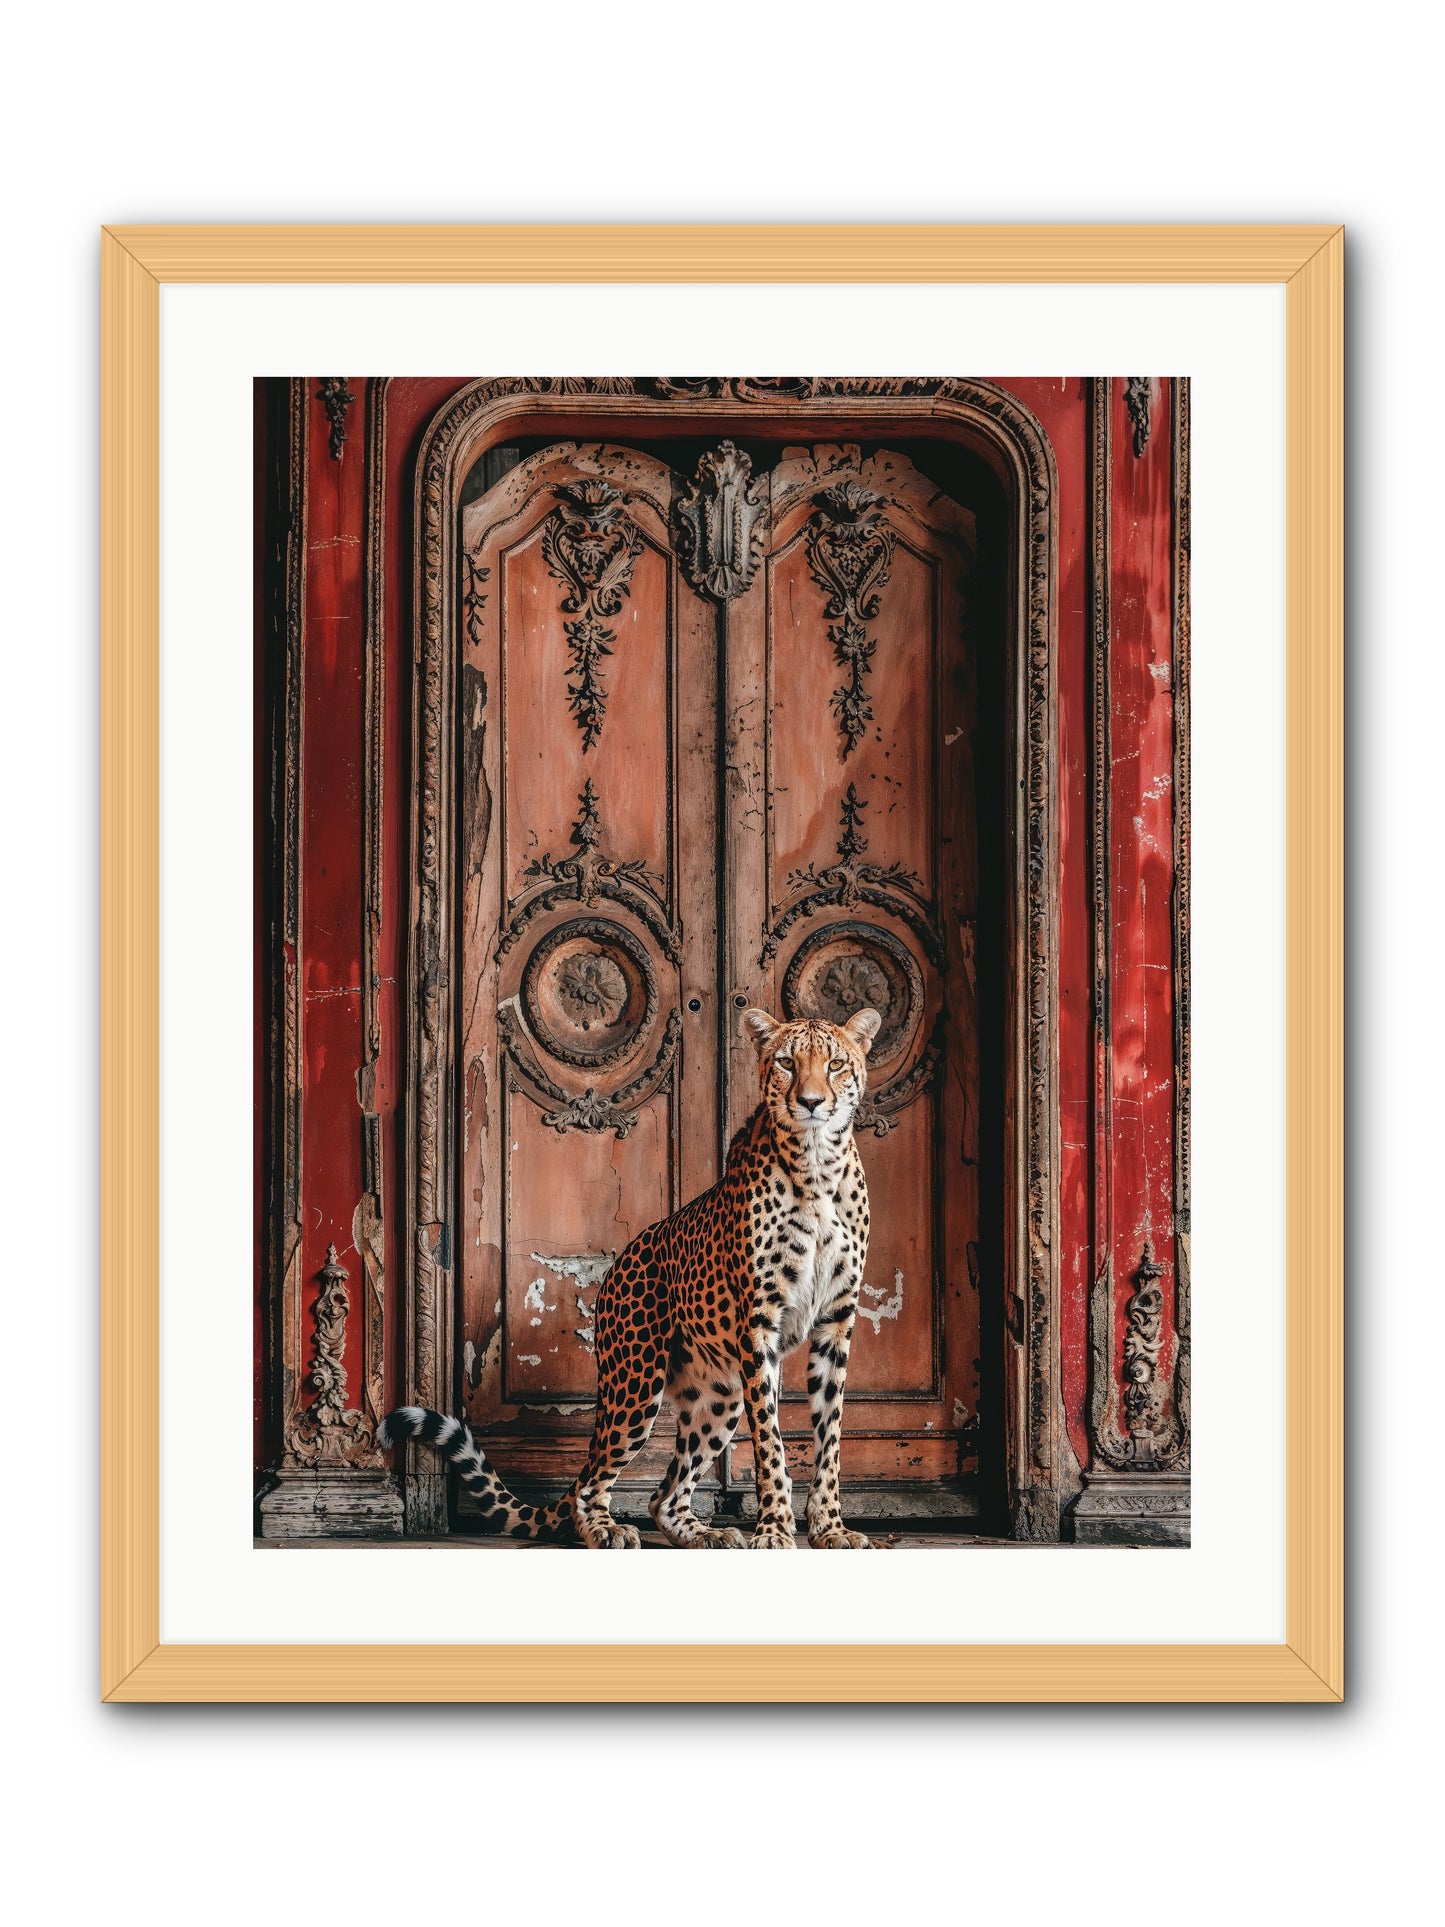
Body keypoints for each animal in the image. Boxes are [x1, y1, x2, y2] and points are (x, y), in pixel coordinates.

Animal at [379, 1003, 882, 1549]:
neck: (817, 1166)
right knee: (592, 1482)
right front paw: (773, 1530)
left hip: (720, 1395)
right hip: (636, 1383)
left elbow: (829, 1436)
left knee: (663, 1496)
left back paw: (706, 1534)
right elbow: (771, 1439)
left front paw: (830, 1528)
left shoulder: (836, 1320)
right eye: (788, 1063)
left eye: (835, 1064)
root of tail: (619, 1261)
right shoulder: (760, 1324)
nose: (811, 1102)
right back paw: (607, 1529)